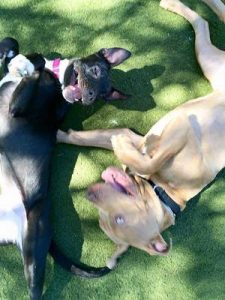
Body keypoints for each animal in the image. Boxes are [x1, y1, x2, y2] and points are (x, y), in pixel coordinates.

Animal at [0, 38, 130, 300]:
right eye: (96, 71)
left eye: (101, 96)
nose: (90, 96)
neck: (56, 73)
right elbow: (11, 43)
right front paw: (13, 55)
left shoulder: (16, 107)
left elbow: (33, 69)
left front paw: (28, 63)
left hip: (35, 239)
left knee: (35, 290)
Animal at [56, 0, 225, 268]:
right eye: (103, 219)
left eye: (119, 219)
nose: (89, 193)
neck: (163, 189)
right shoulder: (138, 137)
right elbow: (84, 137)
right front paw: (56, 135)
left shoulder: (182, 131)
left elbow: (148, 161)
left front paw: (121, 148)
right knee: (210, 20)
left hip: (211, 61)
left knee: (204, 22)